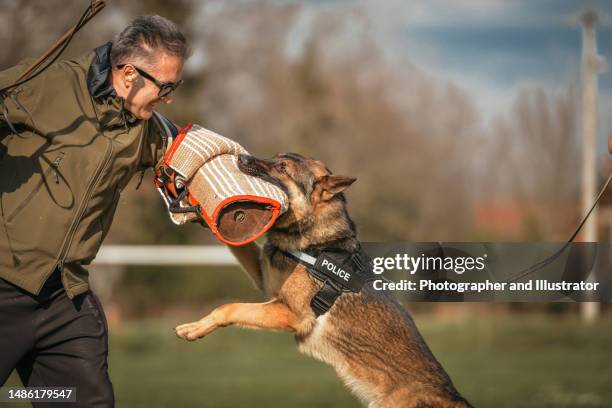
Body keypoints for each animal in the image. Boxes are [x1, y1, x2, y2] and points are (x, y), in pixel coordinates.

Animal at [175, 154, 470, 408]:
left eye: (281, 168)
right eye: (275, 157)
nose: (241, 157)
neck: (316, 243)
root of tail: (455, 398)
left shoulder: (292, 314)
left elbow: (229, 307)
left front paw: (195, 328)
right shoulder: (265, 280)